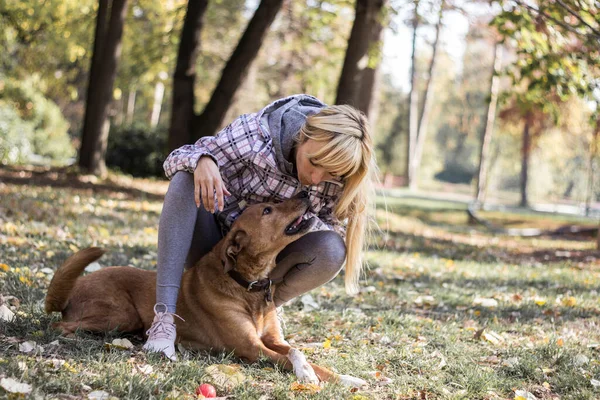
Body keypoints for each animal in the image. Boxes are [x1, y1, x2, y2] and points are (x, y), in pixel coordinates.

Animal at [44, 195, 366, 386]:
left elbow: (303, 354)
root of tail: (74, 287)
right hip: (121, 314)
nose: (304, 194)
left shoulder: (273, 340)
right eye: (267, 209)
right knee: (61, 325)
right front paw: (306, 374)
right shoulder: (251, 348)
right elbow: (288, 358)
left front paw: (345, 378)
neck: (248, 285)